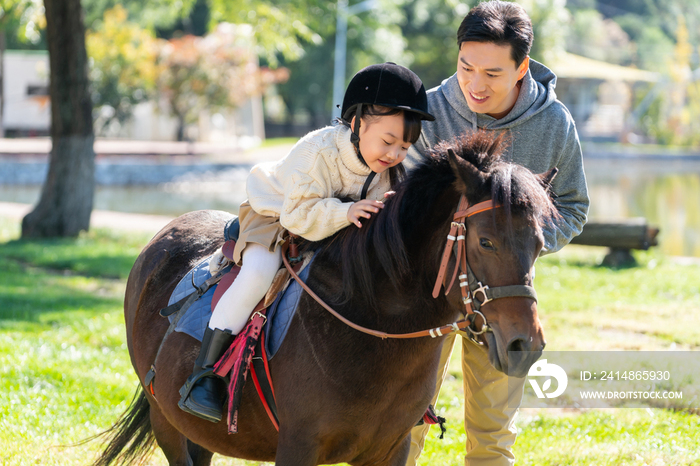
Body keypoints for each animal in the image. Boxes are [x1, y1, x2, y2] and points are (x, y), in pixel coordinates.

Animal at [93, 131, 556, 466]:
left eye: (539, 244)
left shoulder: (391, 451)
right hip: (168, 423)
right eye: (486, 241)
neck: (371, 325)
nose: (524, 346)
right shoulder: (298, 447)